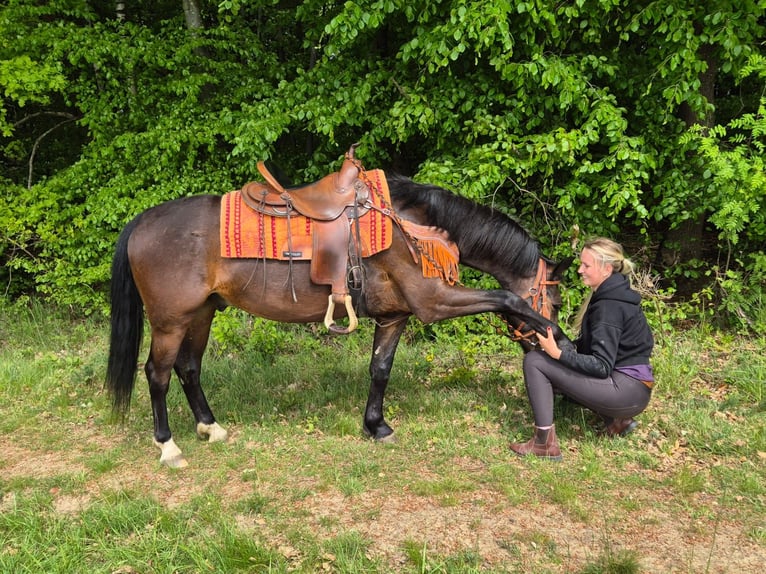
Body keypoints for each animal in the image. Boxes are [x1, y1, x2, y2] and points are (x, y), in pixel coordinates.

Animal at [106, 148, 574, 468]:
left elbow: (380, 369)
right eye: (553, 299)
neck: (411, 225)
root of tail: (141, 221)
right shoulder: (434, 302)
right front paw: (560, 339)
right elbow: (507, 298)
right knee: (158, 374)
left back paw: (211, 427)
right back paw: (168, 446)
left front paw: (376, 425)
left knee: (189, 368)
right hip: (169, 321)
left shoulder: (395, 316)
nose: (546, 345)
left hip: (201, 314)